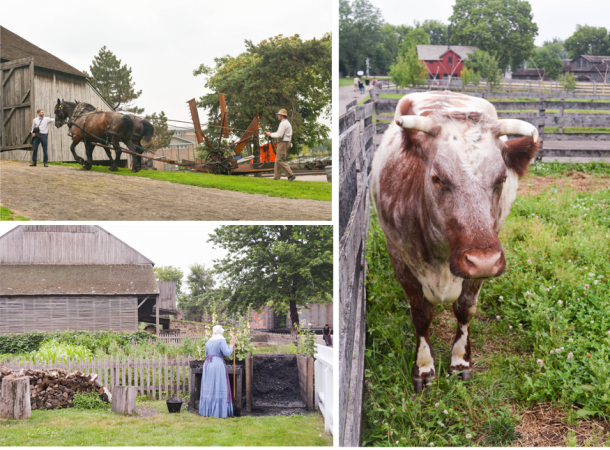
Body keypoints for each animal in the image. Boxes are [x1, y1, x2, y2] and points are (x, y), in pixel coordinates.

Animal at [370, 90, 536, 390]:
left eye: (501, 179)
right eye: (438, 178)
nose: (483, 260)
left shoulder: (478, 270)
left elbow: (465, 309)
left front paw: (460, 362)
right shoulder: (399, 257)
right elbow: (421, 314)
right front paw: (424, 367)